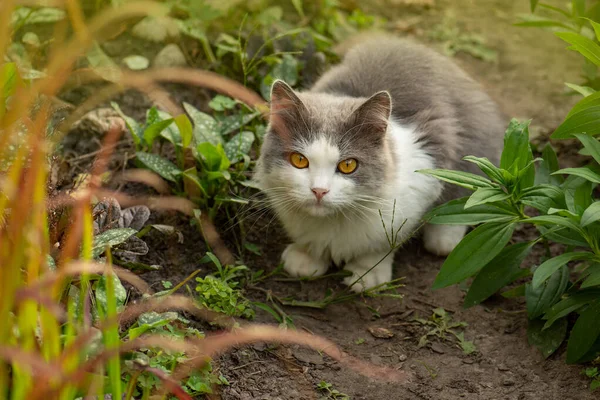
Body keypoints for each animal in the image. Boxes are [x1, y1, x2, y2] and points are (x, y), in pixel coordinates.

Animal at [253, 35, 506, 290]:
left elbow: (381, 245)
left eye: (348, 165)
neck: (334, 221)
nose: (319, 191)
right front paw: (305, 258)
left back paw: (445, 238)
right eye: (299, 160)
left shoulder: (421, 178)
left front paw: (366, 275)